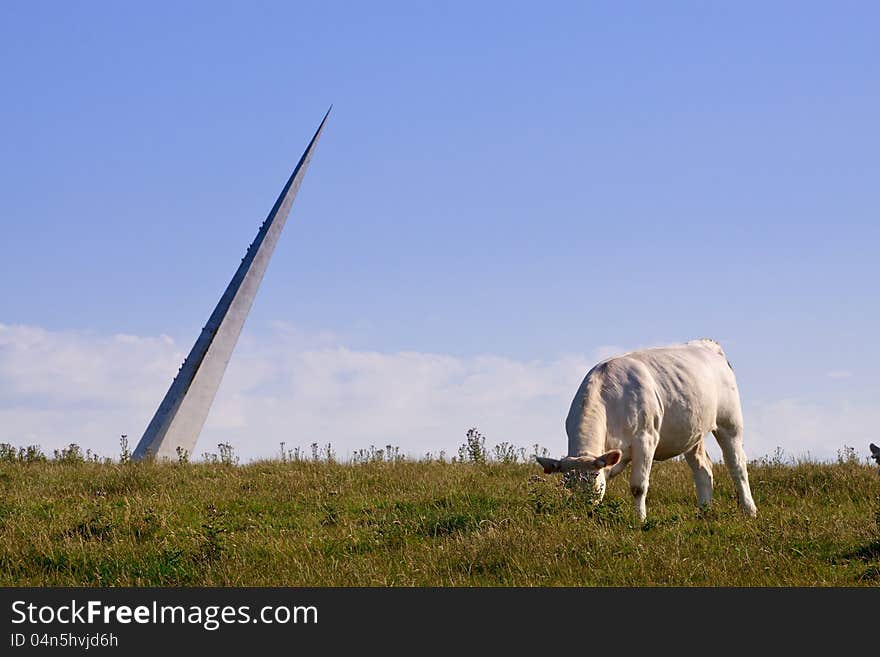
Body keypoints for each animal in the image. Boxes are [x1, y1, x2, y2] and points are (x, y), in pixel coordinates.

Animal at [536, 338, 756, 516]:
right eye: (566, 483)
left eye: (594, 480)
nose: (581, 510)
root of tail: (707, 345)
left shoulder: (646, 439)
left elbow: (638, 486)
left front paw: (640, 519)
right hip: (692, 432)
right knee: (703, 469)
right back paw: (704, 512)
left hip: (730, 422)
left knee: (737, 465)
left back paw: (749, 510)